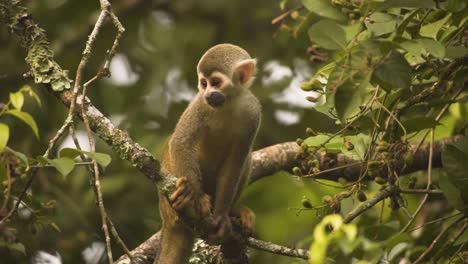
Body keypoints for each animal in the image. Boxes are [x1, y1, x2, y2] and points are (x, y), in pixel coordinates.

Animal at [155, 43, 262, 262]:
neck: (228, 103)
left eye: (216, 83)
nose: (208, 94)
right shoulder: (199, 104)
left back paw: (234, 211)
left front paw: (222, 217)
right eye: (203, 84)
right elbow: (181, 141)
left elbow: (236, 162)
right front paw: (195, 196)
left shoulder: (253, 112)